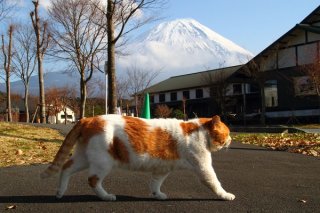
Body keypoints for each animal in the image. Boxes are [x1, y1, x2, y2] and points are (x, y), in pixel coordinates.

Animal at [40, 114, 235, 201]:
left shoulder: (162, 169)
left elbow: (155, 183)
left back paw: (60, 192)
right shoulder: (203, 166)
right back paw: (106, 196)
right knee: (93, 180)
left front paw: (157, 195)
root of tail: (88, 118)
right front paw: (226, 195)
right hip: (102, 162)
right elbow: (214, 182)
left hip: (84, 158)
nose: (232, 140)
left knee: (66, 167)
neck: (198, 132)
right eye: (227, 133)